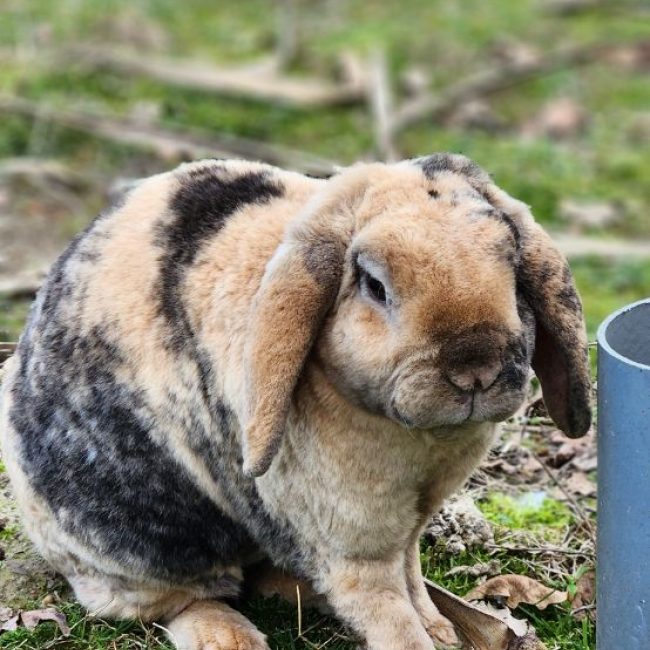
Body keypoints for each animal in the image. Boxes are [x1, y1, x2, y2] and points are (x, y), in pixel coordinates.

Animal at [0, 153, 591, 650]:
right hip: (136, 550)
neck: (416, 437)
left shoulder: (411, 524)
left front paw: (441, 630)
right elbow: (384, 605)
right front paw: (421, 640)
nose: (475, 369)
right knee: (178, 601)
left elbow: (412, 573)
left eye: (511, 262)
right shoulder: (356, 540)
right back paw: (230, 638)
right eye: (374, 285)